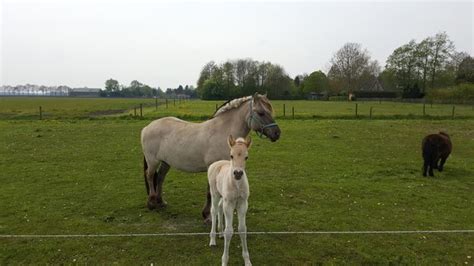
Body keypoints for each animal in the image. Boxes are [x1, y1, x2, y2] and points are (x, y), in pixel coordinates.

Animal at [141, 93, 282, 222]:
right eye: (261, 113)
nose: (277, 133)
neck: (222, 132)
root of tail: (147, 127)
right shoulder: (213, 167)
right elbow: (210, 192)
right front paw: (207, 215)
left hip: (166, 162)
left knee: (160, 177)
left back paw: (161, 202)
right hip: (153, 161)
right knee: (150, 176)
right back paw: (151, 203)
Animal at [207, 136, 252, 264]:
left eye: (246, 157)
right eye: (231, 155)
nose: (238, 173)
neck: (237, 185)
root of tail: (216, 163)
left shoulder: (243, 204)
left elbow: (242, 229)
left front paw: (247, 261)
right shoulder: (229, 204)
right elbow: (229, 232)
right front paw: (224, 261)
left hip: (223, 197)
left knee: (219, 208)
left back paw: (220, 233)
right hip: (215, 193)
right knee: (214, 210)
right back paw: (213, 239)